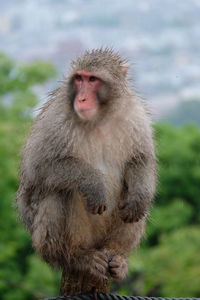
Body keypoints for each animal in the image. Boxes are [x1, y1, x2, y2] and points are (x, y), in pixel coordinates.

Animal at [16, 48, 156, 296]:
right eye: (79, 78)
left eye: (92, 80)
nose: (81, 98)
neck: (101, 116)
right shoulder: (56, 119)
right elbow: (38, 170)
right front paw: (93, 184)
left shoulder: (135, 114)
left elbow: (140, 159)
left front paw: (139, 198)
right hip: (42, 239)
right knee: (59, 191)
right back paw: (76, 257)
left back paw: (117, 255)